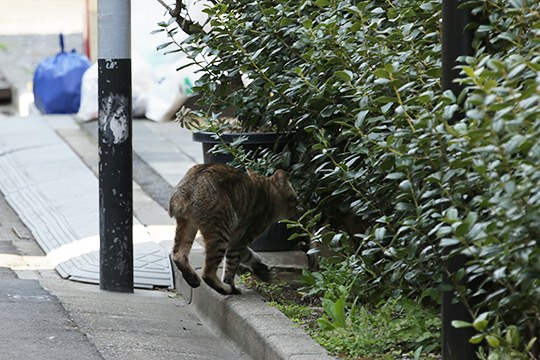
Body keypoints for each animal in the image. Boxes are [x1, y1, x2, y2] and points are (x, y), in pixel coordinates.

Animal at [169, 163, 298, 296]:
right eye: (295, 199)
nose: (296, 210)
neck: (267, 194)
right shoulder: (241, 238)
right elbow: (231, 267)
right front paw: (230, 283)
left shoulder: (237, 239)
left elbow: (249, 256)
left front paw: (261, 269)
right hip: (221, 233)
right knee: (208, 274)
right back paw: (228, 289)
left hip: (187, 226)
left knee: (178, 255)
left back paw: (193, 279)